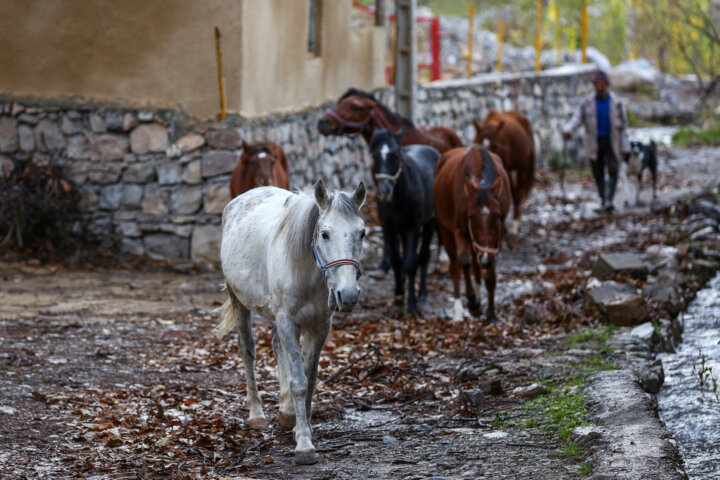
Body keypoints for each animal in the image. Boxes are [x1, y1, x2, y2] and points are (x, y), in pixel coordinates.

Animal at [215, 181, 366, 464]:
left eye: (362, 233)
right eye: (325, 234)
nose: (349, 294)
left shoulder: (320, 327)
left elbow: (310, 378)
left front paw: (300, 427)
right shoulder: (287, 321)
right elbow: (299, 381)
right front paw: (304, 445)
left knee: (277, 347)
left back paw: (286, 413)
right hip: (239, 301)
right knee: (247, 351)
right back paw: (257, 415)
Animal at [368, 127, 442, 316]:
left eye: (395, 155)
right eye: (375, 156)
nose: (384, 192)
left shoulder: (413, 227)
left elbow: (410, 263)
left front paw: (411, 304)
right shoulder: (389, 227)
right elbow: (396, 261)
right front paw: (398, 299)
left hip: (430, 221)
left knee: (424, 256)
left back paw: (422, 295)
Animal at [434, 144, 512, 320]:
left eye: (498, 216)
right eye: (470, 216)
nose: (485, 258)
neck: (481, 182)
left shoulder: (496, 237)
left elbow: (489, 273)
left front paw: (491, 313)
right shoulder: (459, 229)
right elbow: (464, 261)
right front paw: (472, 302)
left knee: (477, 263)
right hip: (445, 227)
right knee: (456, 265)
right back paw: (459, 309)